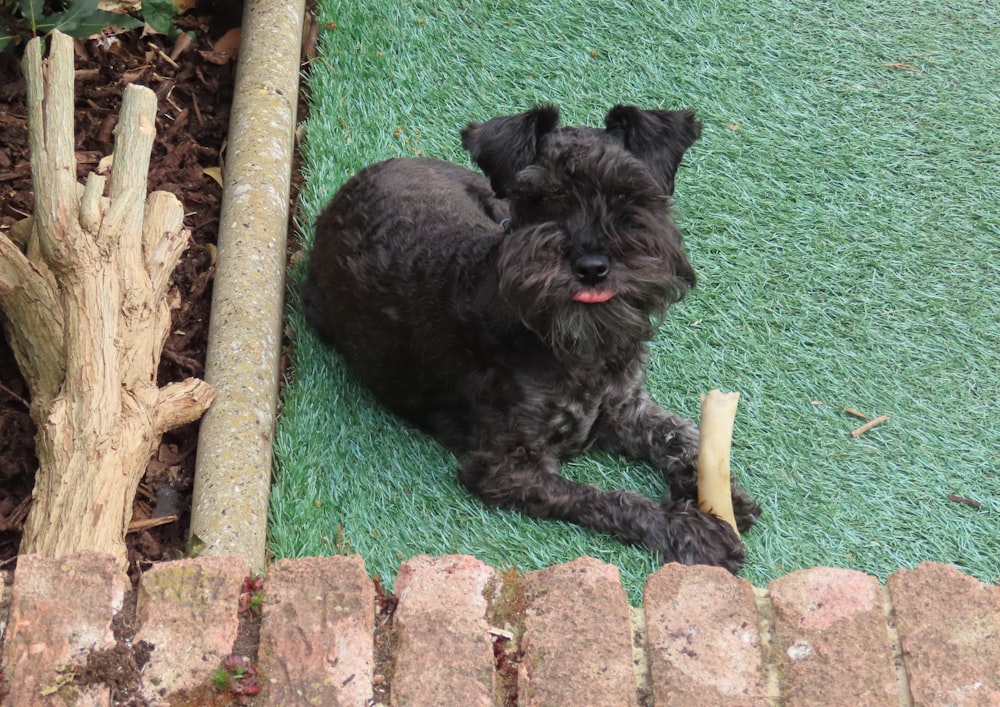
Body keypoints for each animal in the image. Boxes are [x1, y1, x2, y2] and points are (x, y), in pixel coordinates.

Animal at [300, 105, 760, 572]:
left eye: (627, 194)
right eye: (541, 199)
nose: (591, 266)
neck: (577, 346)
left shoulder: (626, 406)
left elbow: (675, 433)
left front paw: (718, 490)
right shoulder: (504, 467)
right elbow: (602, 497)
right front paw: (689, 530)